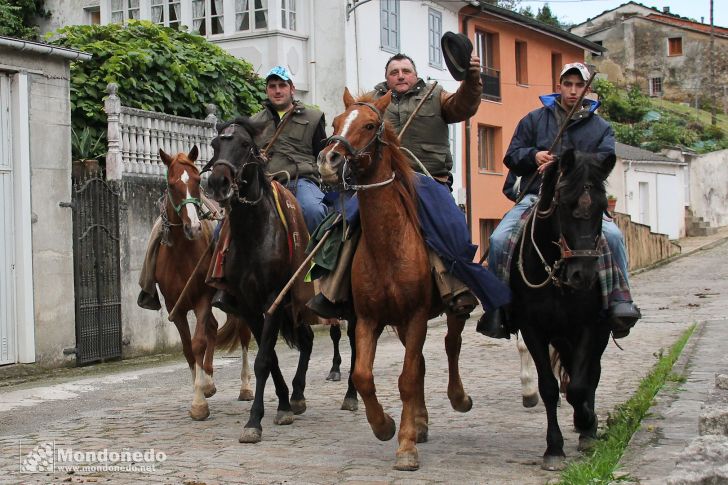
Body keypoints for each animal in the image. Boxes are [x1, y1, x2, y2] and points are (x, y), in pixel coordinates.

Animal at [152, 147, 252, 420]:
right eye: (172, 184)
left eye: (198, 182)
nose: (194, 228)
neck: (181, 253)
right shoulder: (175, 306)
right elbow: (188, 348)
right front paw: (200, 388)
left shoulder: (202, 299)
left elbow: (198, 342)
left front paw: (199, 404)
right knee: (213, 328)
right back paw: (207, 380)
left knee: (243, 335)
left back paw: (245, 387)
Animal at [205, 117, 318, 442]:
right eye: (215, 144)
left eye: (244, 144)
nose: (217, 183)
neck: (254, 234)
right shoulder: (248, 305)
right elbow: (271, 359)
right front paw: (282, 405)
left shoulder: (273, 300)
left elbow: (263, 360)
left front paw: (254, 420)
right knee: (307, 339)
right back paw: (297, 396)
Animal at [318, 90, 472, 468]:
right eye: (335, 122)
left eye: (370, 125)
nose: (328, 160)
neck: (389, 244)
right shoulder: (368, 319)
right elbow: (363, 376)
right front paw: (385, 426)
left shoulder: (416, 317)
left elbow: (406, 378)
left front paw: (405, 447)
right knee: (421, 364)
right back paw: (420, 422)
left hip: (449, 309)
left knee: (450, 345)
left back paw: (457, 399)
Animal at [510, 148, 616, 468]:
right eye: (566, 206)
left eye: (602, 208)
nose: (584, 275)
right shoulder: (533, 329)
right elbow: (548, 385)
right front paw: (554, 448)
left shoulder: (588, 326)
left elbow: (581, 385)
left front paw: (587, 424)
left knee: (592, 374)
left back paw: (587, 428)